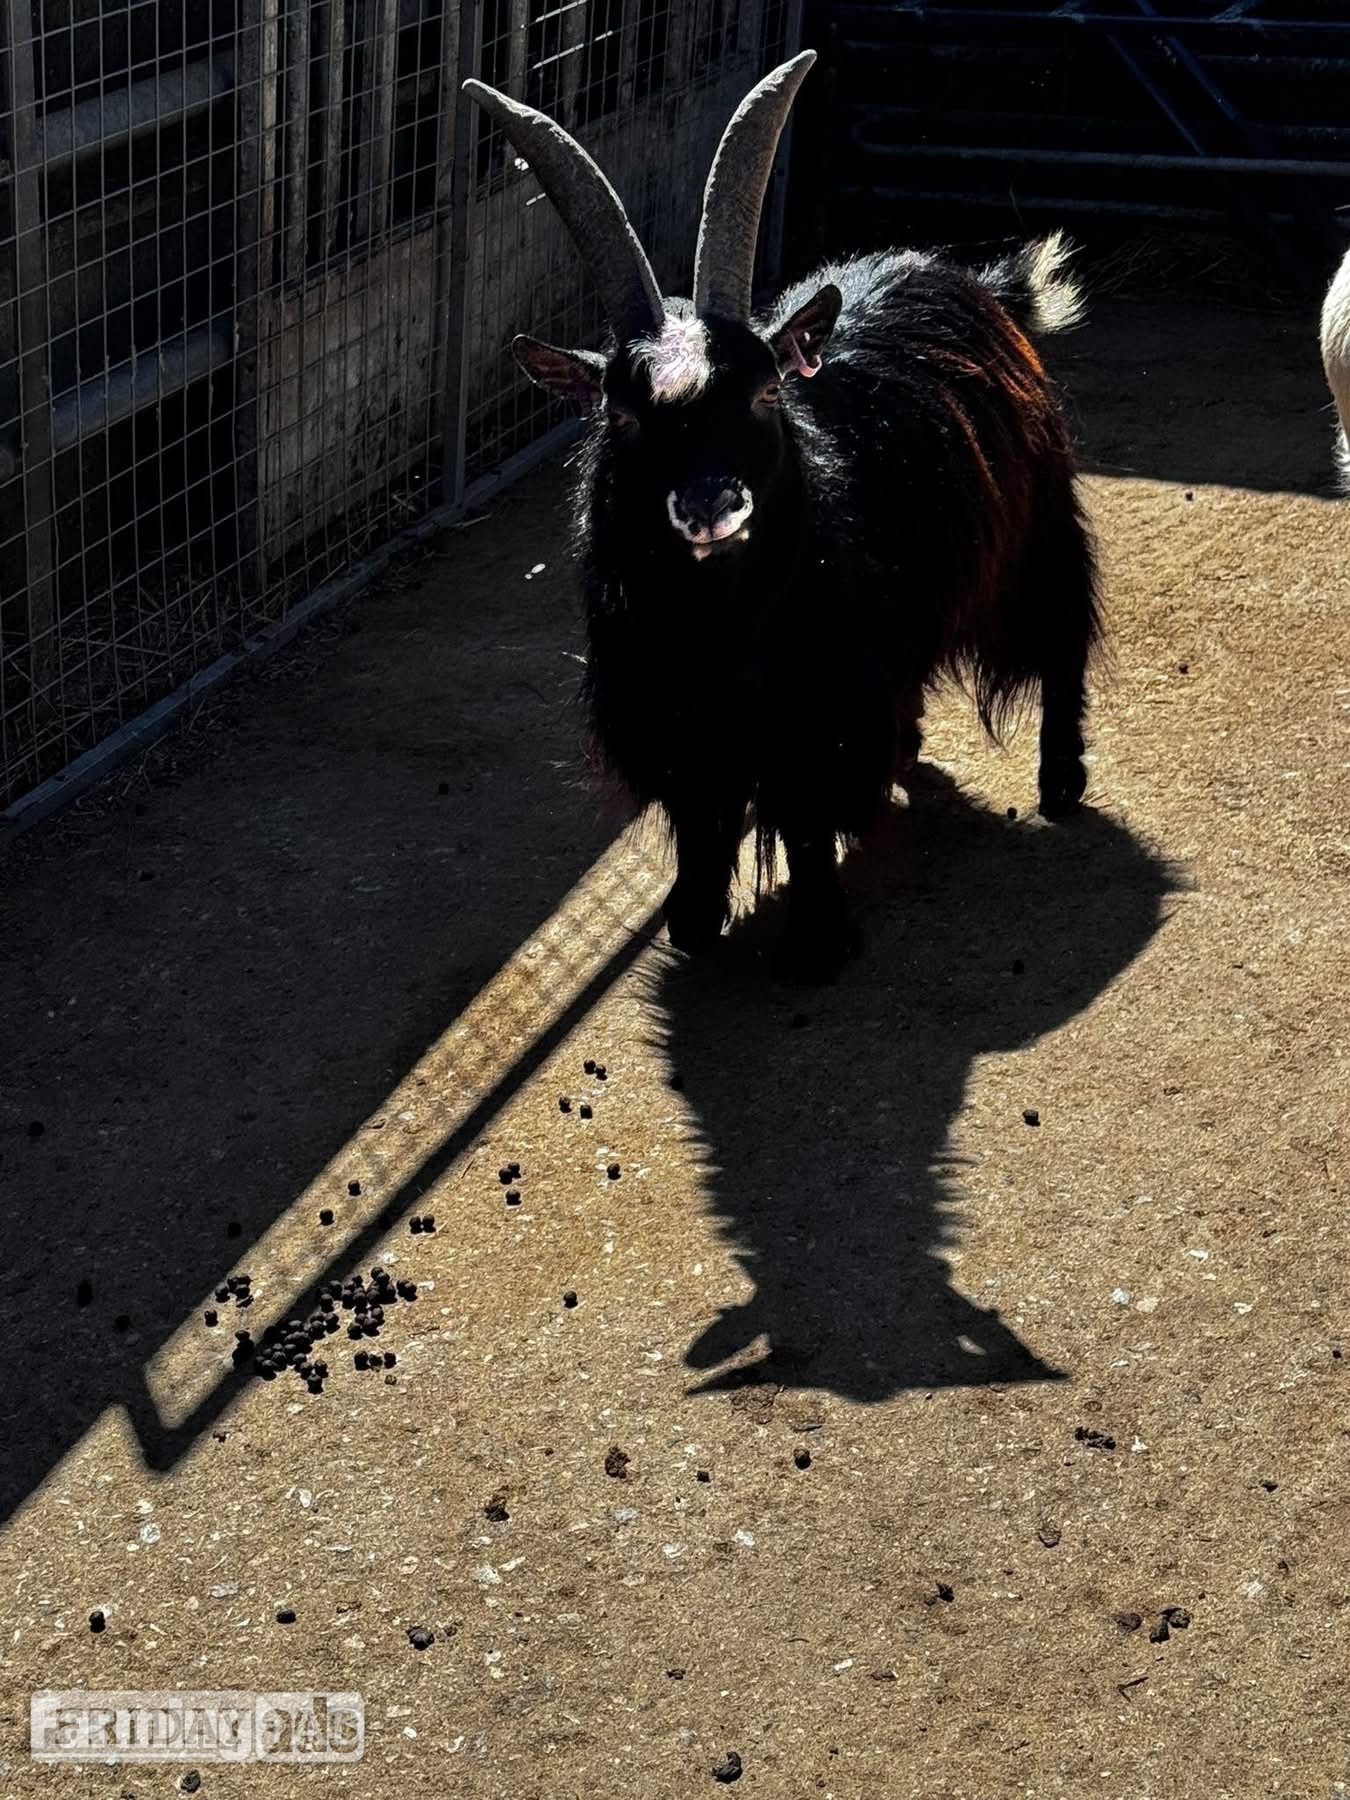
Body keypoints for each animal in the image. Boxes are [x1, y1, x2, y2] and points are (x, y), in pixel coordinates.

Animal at [465, 53, 1101, 978]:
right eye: (621, 414)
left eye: (767, 392)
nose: (710, 504)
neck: (722, 635)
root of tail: (976, 283)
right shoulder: (676, 727)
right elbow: (701, 829)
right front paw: (693, 920)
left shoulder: (818, 717)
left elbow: (804, 825)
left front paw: (820, 940)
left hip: (1036, 526)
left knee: (1060, 635)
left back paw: (1061, 782)